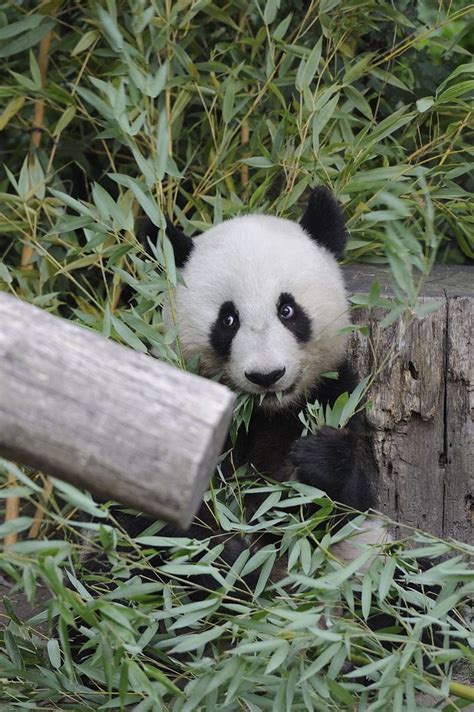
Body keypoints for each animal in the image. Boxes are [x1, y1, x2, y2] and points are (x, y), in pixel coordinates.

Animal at [115, 186, 388, 592]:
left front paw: (317, 457)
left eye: (287, 310)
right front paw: (231, 564)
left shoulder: (334, 394)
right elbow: (157, 520)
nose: (266, 375)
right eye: (228, 319)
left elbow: (341, 512)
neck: (263, 412)